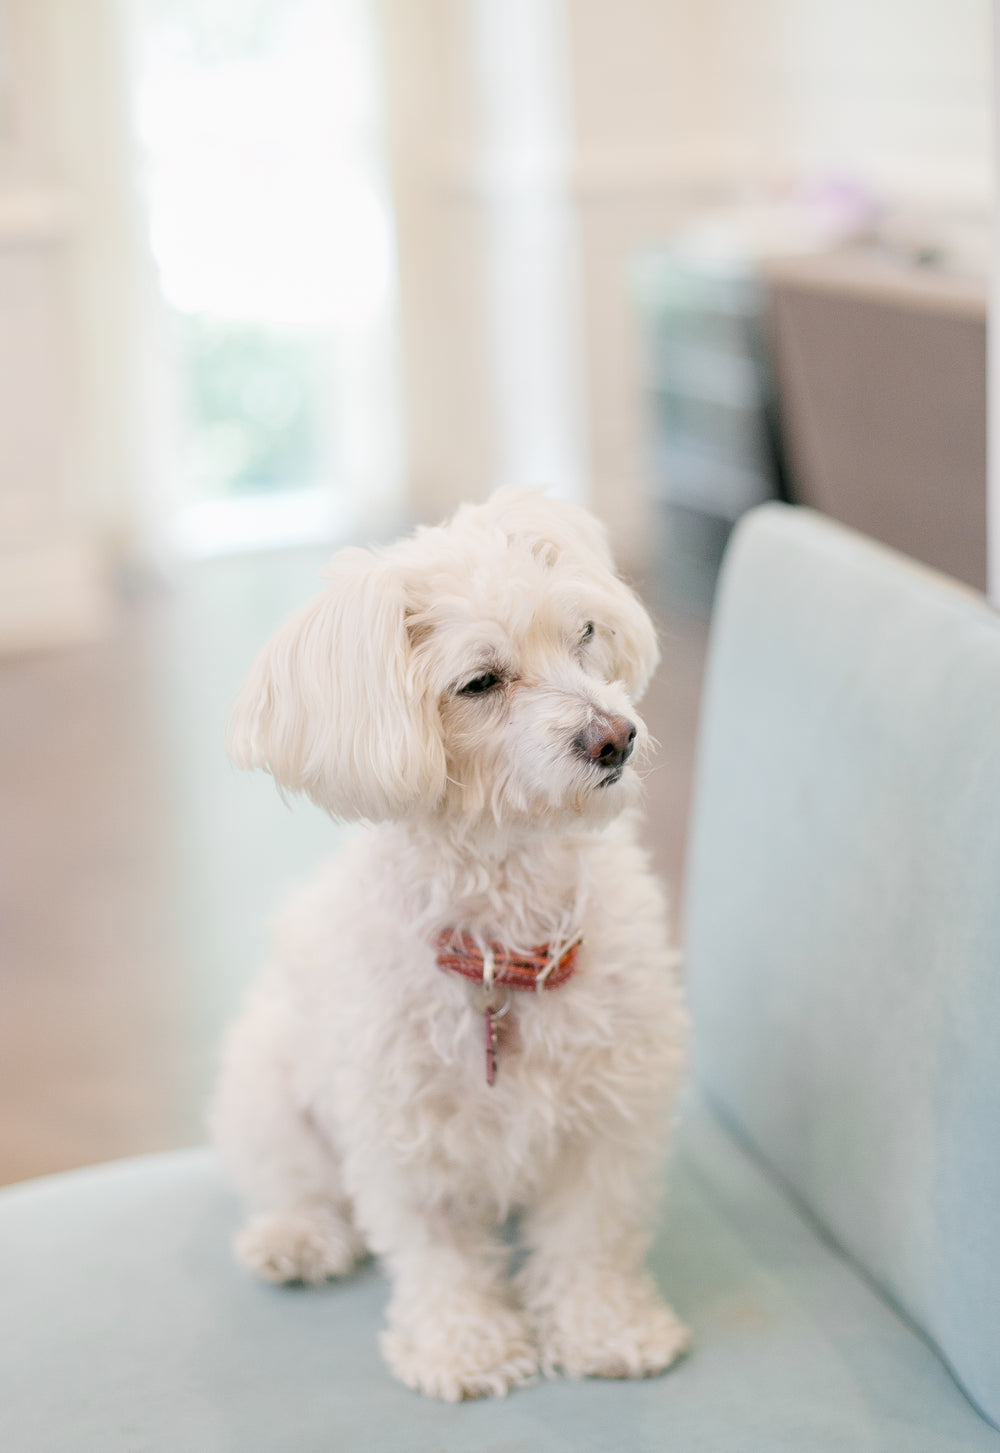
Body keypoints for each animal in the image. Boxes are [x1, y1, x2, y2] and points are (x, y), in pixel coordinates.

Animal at [209, 491, 686, 1406]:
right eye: (481, 682)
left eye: (584, 633)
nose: (615, 737)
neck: (507, 945)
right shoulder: (403, 1131)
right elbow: (439, 1256)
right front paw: (467, 1347)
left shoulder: (608, 1117)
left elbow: (590, 1236)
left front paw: (606, 1327)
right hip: (267, 1092)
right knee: (292, 1180)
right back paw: (296, 1236)